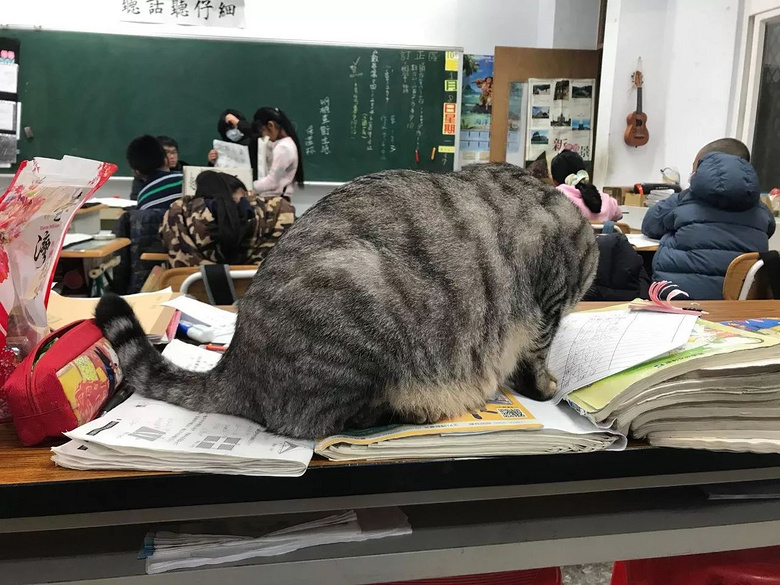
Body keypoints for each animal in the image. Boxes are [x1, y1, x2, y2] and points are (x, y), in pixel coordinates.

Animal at [97, 162, 596, 436]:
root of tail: (233, 362)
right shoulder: (549, 303)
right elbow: (538, 354)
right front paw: (545, 386)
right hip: (364, 305)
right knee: (323, 418)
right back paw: (421, 407)